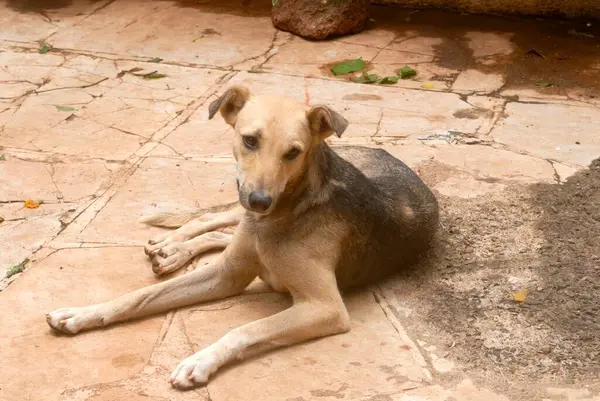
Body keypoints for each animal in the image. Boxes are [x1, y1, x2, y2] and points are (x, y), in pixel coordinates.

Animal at [47, 86, 438, 390]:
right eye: (250, 140)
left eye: (293, 152)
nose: (260, 201)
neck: (284, 215)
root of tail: (381, 149)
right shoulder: (227, 273)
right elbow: (139, 296)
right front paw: (84, 313)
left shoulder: (324, 307)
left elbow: (245, 329)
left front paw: (200, 360)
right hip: (237, 213)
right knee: (212, 218)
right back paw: (171, 245)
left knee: (220, 230)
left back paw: (174, 251)